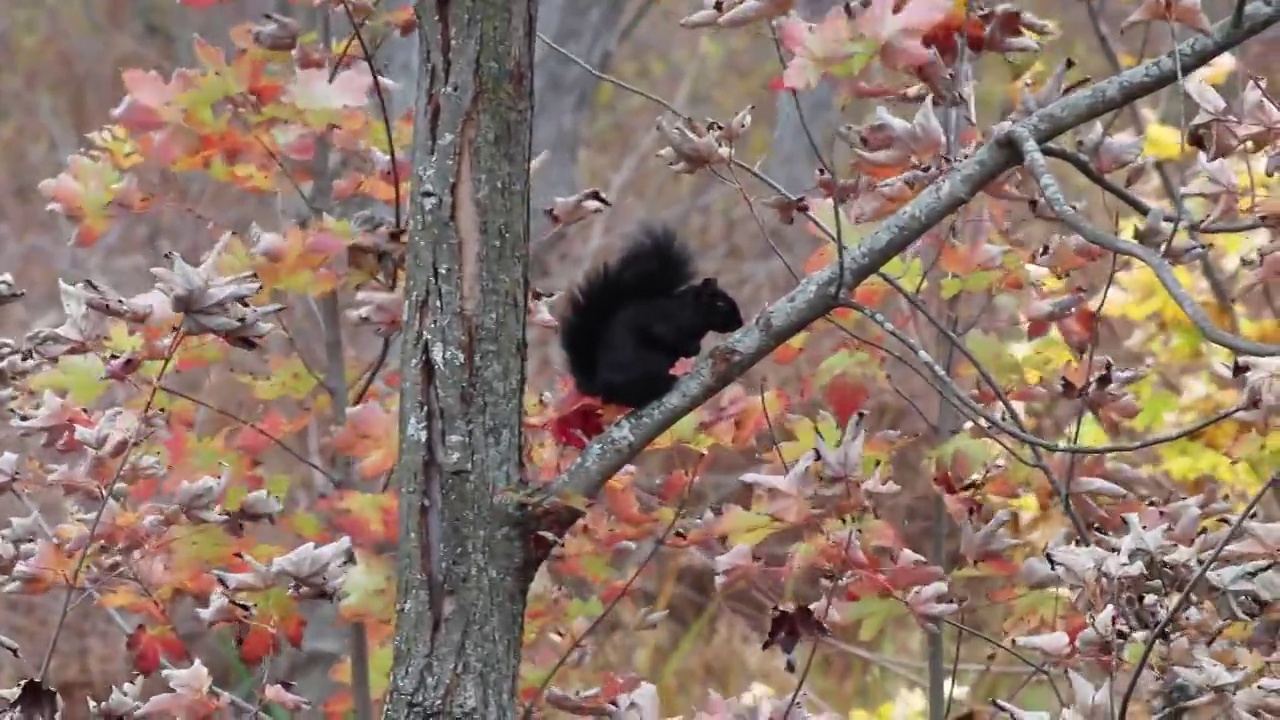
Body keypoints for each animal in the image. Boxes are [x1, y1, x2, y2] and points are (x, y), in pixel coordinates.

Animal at [558, 225, 742, 404]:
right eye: (720, 304)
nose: (740, 322)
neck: (689, 309)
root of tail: (598, 386)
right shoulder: (666, 323)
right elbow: (666, 337)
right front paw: (691, 348)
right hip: (647, 365)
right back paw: (668, 382)